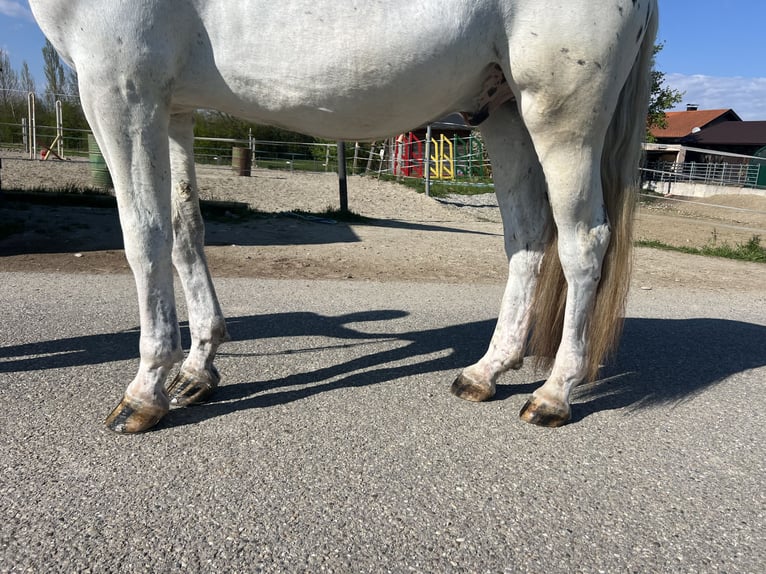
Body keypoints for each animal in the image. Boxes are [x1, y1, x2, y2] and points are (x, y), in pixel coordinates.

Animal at [29, 0, 658, 433]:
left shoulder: (120, 87)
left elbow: (146, 235)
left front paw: (145, 393)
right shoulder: (173, 107)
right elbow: (186, 232)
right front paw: (197, 370)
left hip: (561, 117)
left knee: (582, 244)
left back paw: (553, 395)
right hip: (503, 113)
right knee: (526, 241)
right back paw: (484, 373)